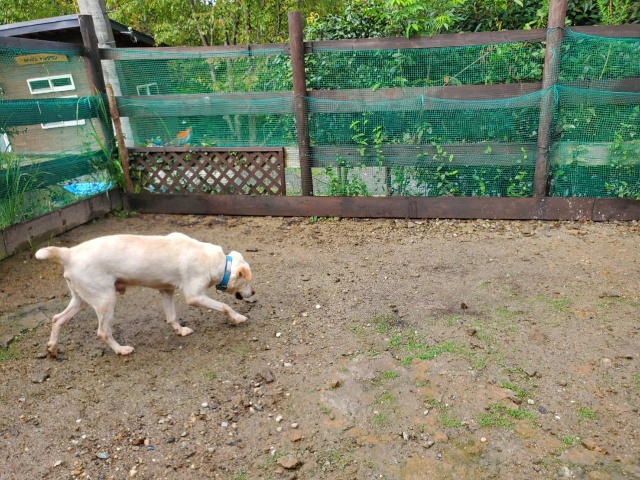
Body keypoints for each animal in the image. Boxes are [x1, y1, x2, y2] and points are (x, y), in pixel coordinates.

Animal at [35, 232, 255, 356]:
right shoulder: (194, 296)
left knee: (57, 319)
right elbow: (225, 306)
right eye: (247, 281)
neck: (221, 264)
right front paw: (239, 317)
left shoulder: (166, 290)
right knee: (103, 332)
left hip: (81, 299)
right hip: (106, 300)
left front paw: (180, 331)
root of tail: (68, 253)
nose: (253, 292)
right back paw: (121, 350)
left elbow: (171, 316)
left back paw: (52, 348)